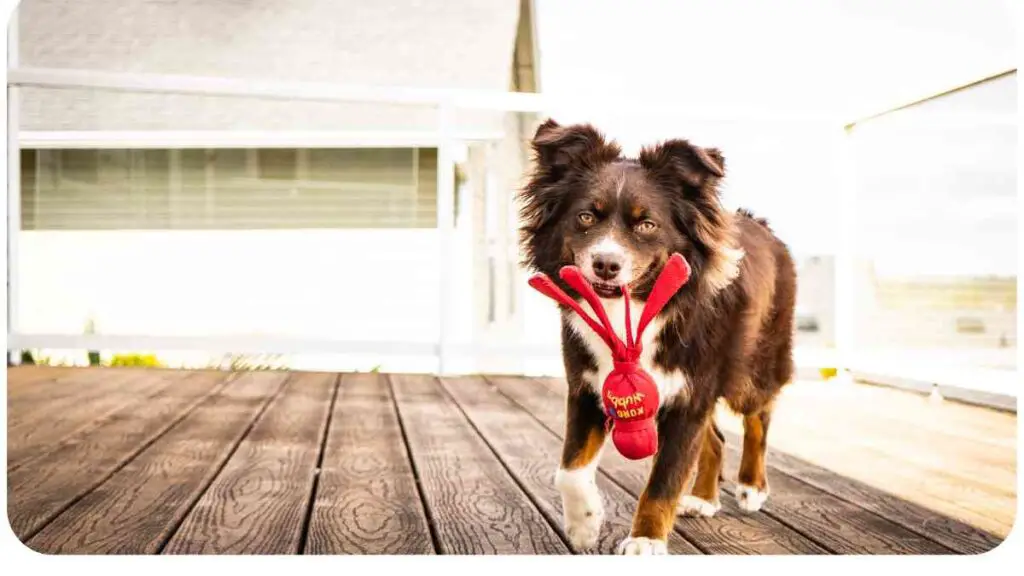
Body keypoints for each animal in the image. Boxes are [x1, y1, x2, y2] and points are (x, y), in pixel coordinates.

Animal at [516, 116, 794, 553]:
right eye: (586, 217)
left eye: (647, 224)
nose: (606, 264)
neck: (634, 311)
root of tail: (761, 224)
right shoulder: (587, 386)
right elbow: (569, 469)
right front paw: (585, 523)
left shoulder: (689, 397)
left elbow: (664, 482)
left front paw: (645, 540)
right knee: (716, 439)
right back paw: (702, 498)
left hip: (751, 367)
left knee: (758, 417)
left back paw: (752, 486)